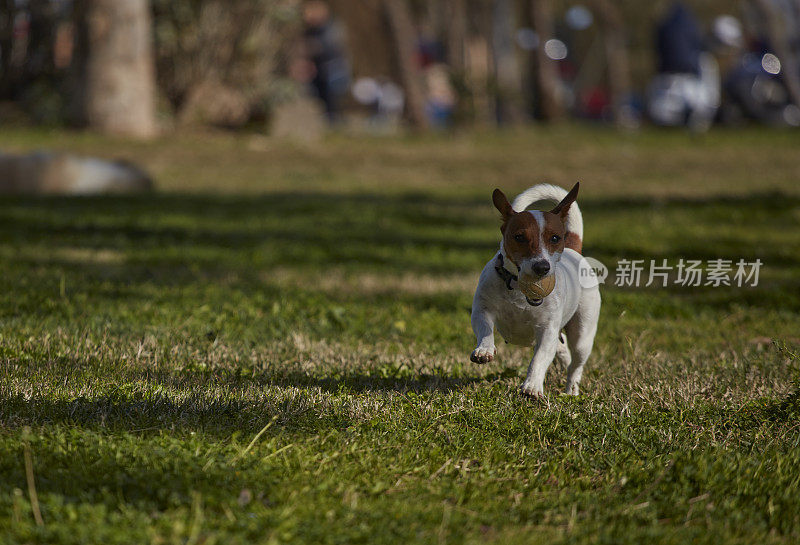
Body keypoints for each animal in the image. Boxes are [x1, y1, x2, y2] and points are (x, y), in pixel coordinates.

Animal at [468, 183, 600, 396]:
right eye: (519, 237)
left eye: (555, 238)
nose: (542, 267)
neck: (519, 289)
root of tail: (573, 250)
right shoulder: (482, 310)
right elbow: (485, 328)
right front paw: (484, 350)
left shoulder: (547, 330)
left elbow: (539, 358)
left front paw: (532, 385)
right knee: (562, 348)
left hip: (582, 335)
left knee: (575, 364)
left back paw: (571, 390)